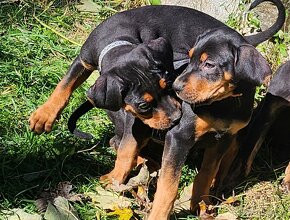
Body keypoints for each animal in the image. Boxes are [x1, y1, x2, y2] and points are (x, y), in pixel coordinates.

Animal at [148, 26, 274, 219]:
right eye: (190, 57)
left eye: (209, 64)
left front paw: (201, 205)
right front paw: (158, 215)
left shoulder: (223, 138)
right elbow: (169, 185)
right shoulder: (179, 137)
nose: (175, 88)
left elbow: (207, 173)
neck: (224, 103)